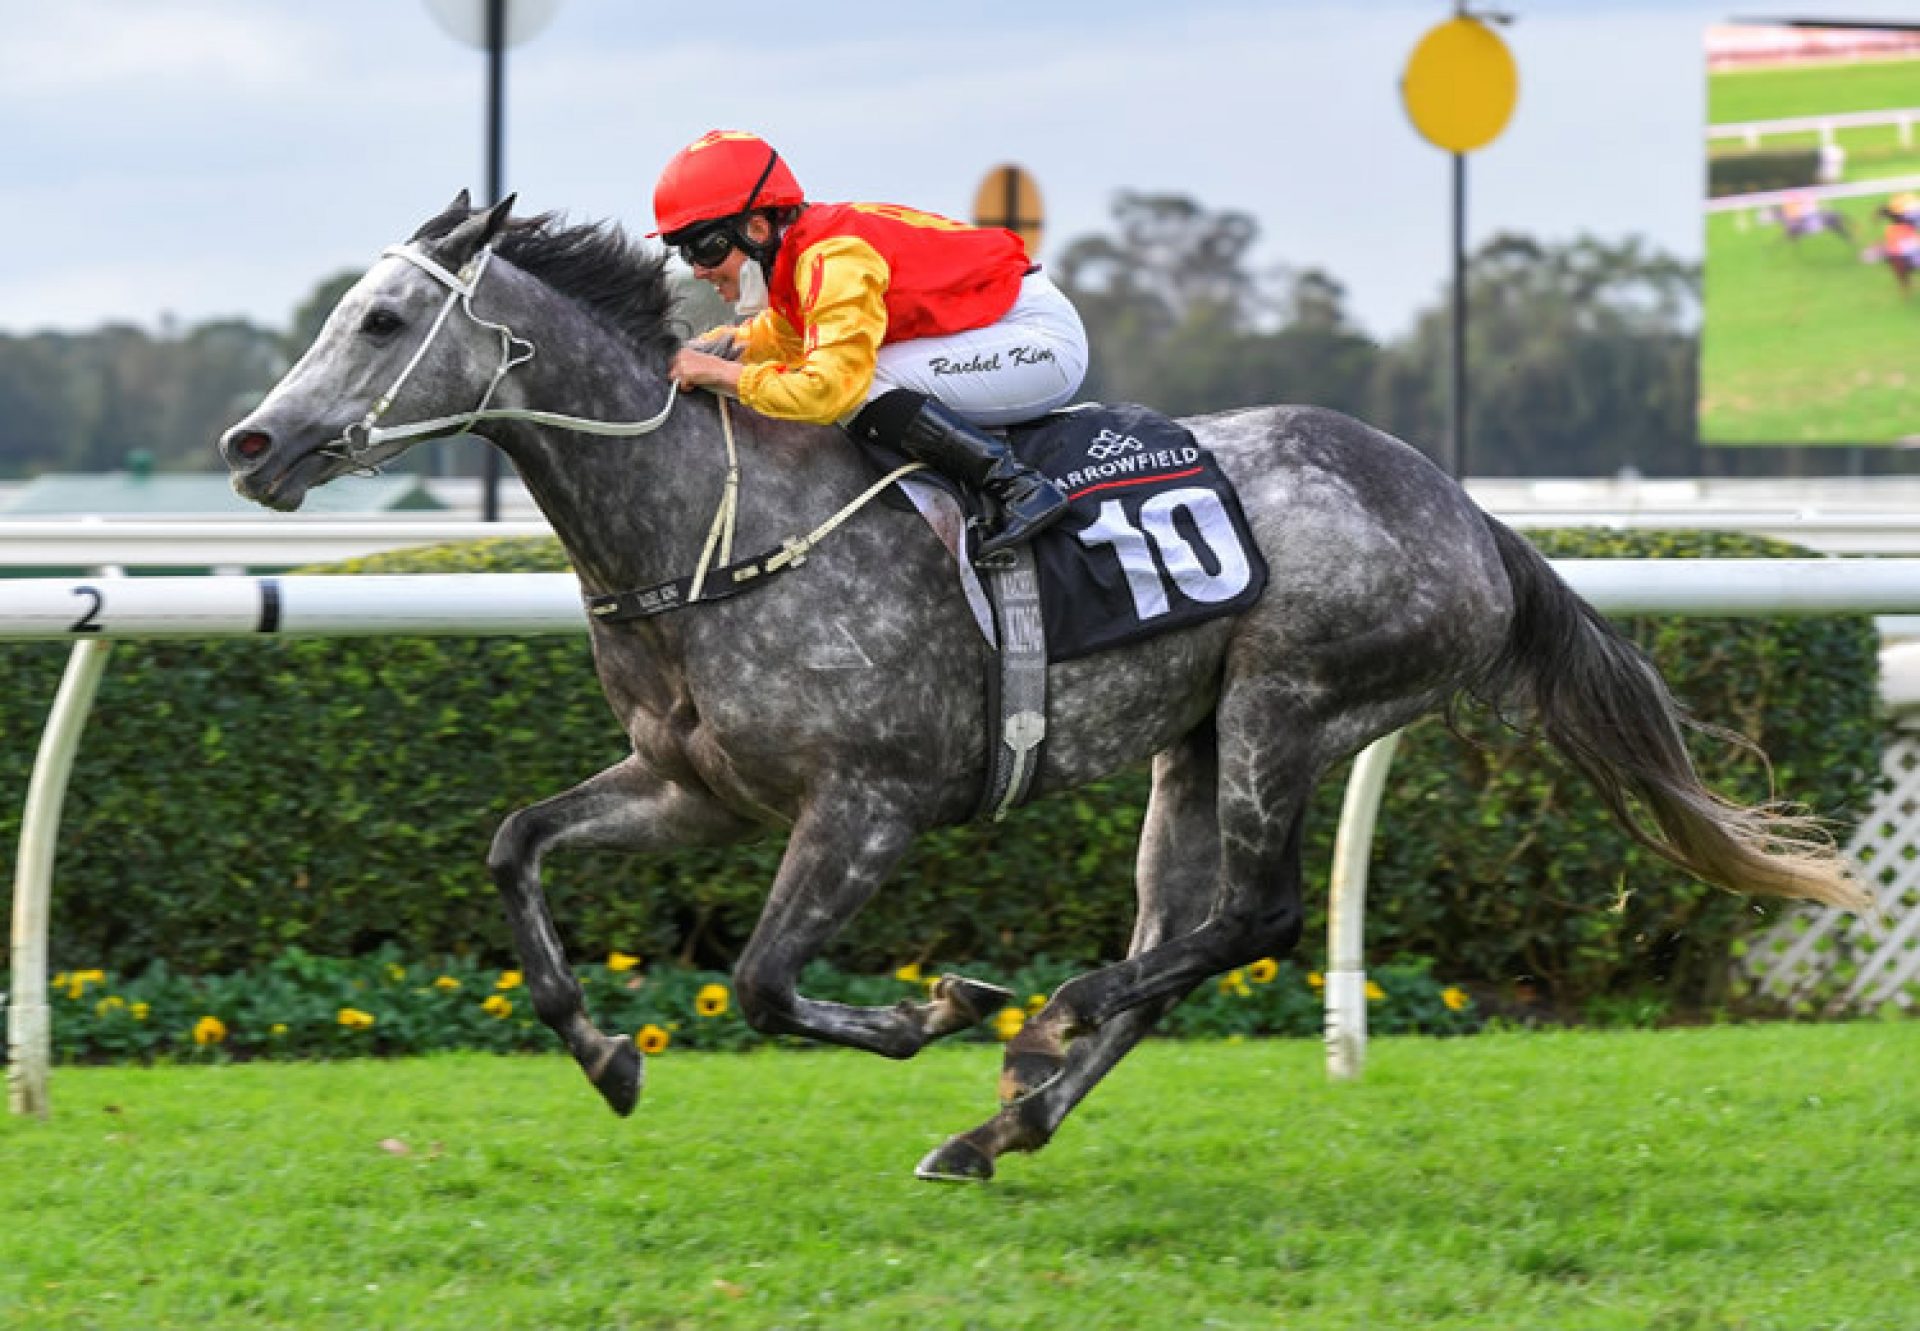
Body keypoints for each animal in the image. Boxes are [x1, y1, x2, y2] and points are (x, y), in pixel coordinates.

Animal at [220, 194, 1858, 1175]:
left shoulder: (869, 803)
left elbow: (764, 979)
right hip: (1189, 745)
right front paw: (602, 1047)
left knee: (1249, 918)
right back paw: (1005, 1120)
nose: (251, 442)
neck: (711, 524)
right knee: (1182, 936)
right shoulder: (695, 786)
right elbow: (516, 843)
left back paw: (1039, 1025)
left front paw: (941, 1002)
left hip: (1288, 702)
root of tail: (1469, 515)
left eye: (380, 320)